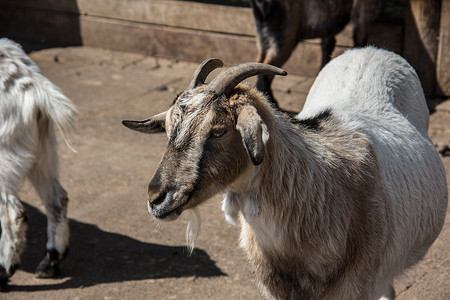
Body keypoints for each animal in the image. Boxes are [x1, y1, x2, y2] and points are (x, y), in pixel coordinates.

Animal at [0, 37, 76, 288]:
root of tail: (28, 80)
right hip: (41, 149)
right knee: (57, 198)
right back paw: (50, 262)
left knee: (12, 212)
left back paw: (4, 270)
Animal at [251, 0, 382, 105]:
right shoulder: (364, 12)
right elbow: (360, 42)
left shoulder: (328, 23)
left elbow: (328, 46)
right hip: (284, 37)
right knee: (267, 70)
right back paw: (272, 104)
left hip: (262, 38)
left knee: (259, 63)